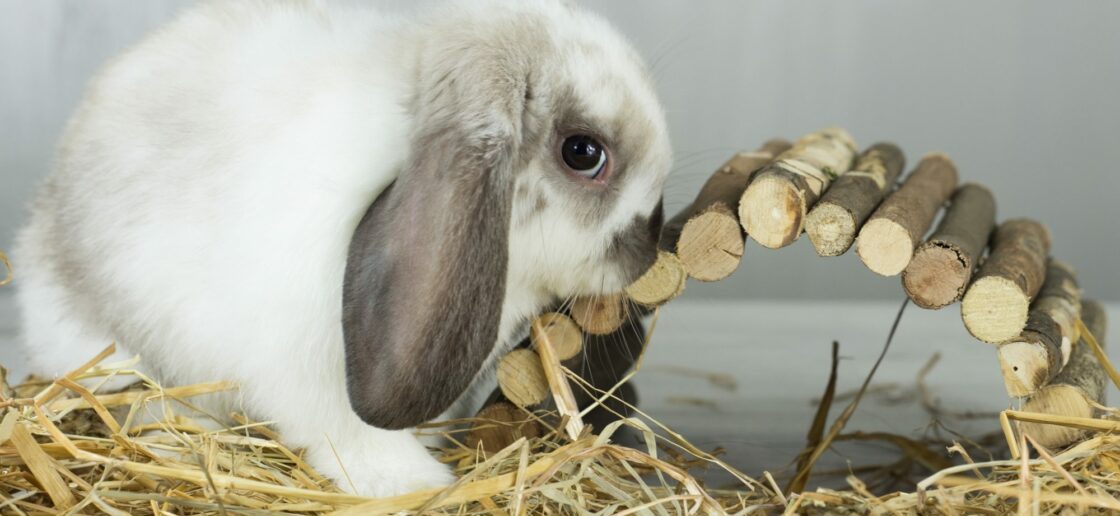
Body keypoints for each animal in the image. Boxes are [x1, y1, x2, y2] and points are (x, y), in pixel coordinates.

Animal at [13, 0, 667, 496]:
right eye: (583, 152)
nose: (650, 241)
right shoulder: (315, 377)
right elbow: (355, 436)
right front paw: (414, 484)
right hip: (109, 351)